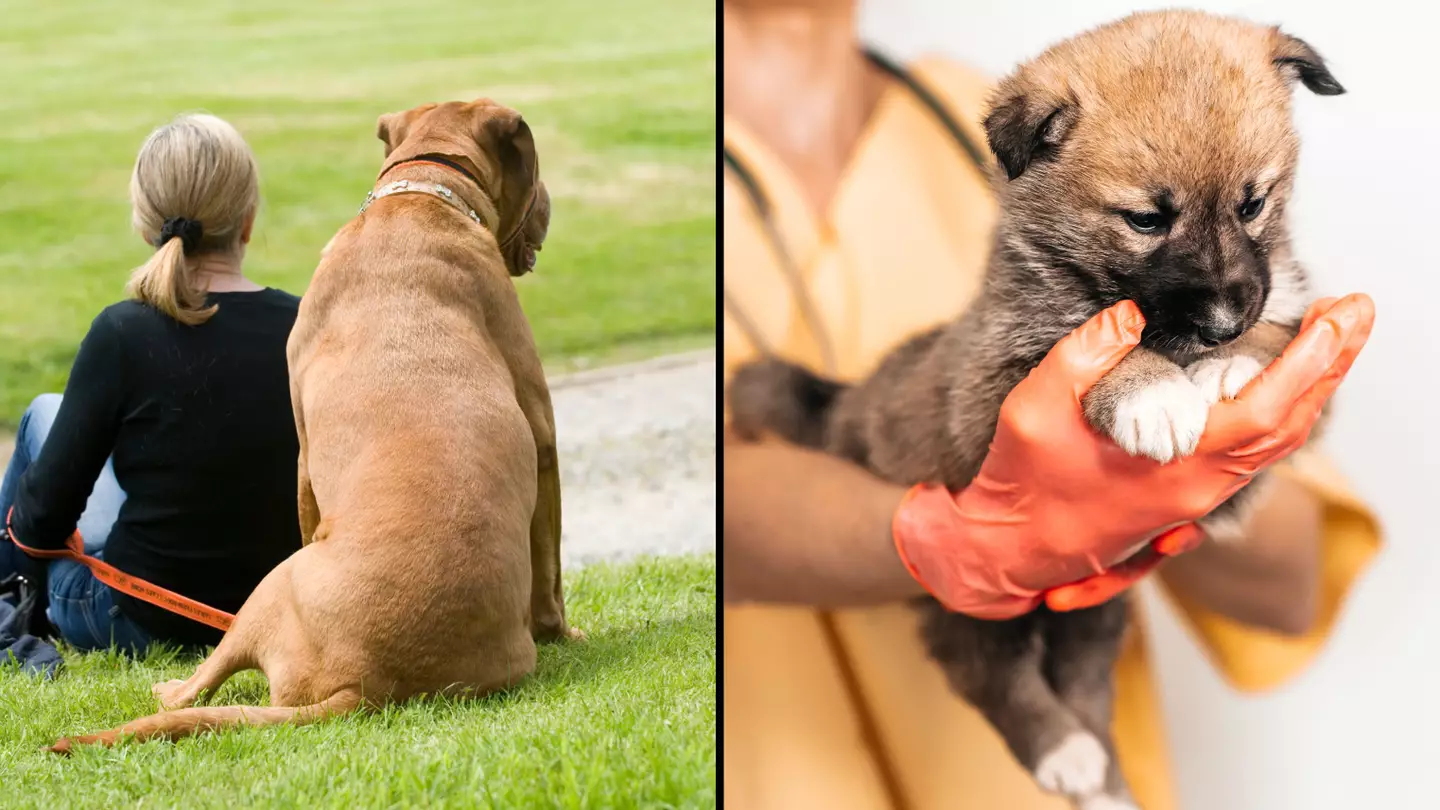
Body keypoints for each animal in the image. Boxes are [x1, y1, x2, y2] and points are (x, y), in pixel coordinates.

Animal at [47, 99, 581, 749]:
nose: (551, 204)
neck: (420, 196)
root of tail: (365, 685)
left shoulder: (538, 437)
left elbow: (549, 572)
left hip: (269, 588)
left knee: (199, 682)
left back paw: (169, 688)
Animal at [725, 12, 1342, 807]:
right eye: (1146, 219)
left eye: (1253, 203)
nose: (1224, 322)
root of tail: (845, 410)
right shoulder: (997, 386)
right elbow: (1097, 360)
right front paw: (1154, 394)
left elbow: (1285, 329)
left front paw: (1238, 363)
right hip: (974, 608)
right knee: (997, 680)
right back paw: (1062, 753)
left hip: (1095, 612)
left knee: (1084, 689)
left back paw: (1102, 775)